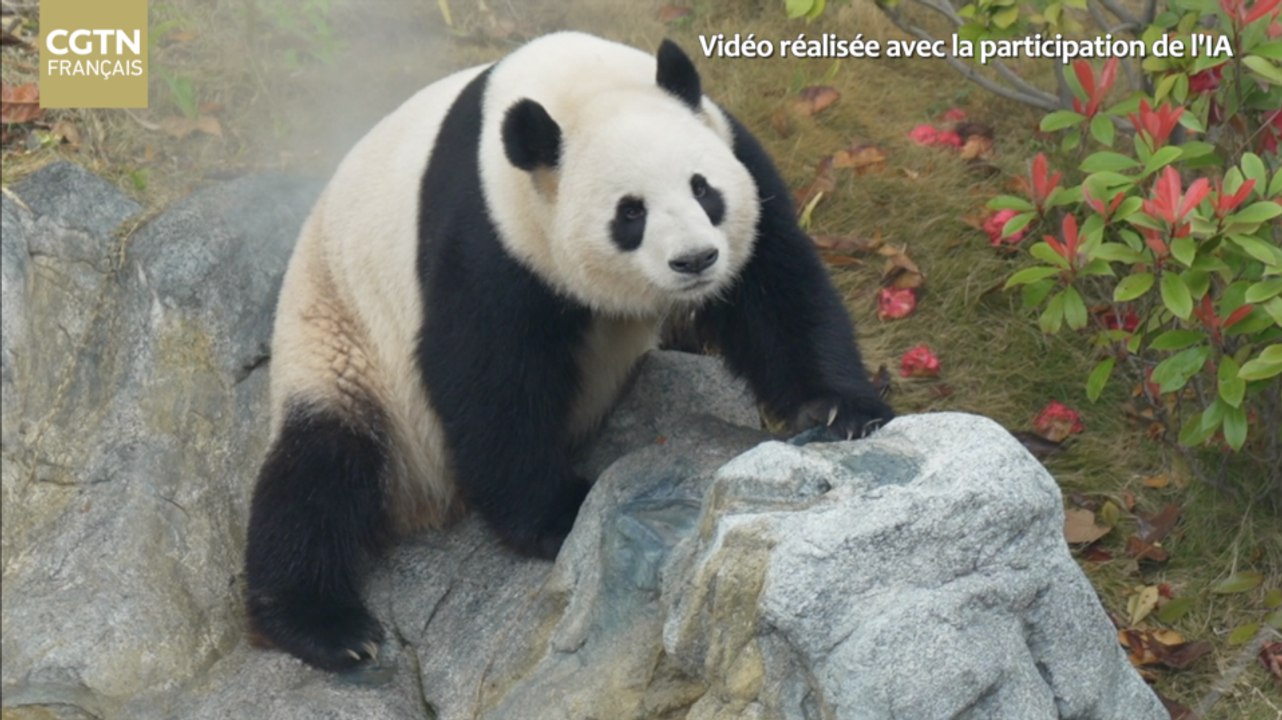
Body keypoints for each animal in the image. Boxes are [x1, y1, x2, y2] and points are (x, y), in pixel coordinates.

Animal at [245, 31, 893, 672]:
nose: (696, 261)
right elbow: (485, 371)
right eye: (630, 212)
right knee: (320, 471)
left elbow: (777, 285)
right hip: (341, 342)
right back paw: (325, 625)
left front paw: (842, 411)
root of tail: (426, 501)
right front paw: (560, 515)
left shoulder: (736, 152)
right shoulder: (489, 227)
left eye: (703, 189)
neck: (578, 86)